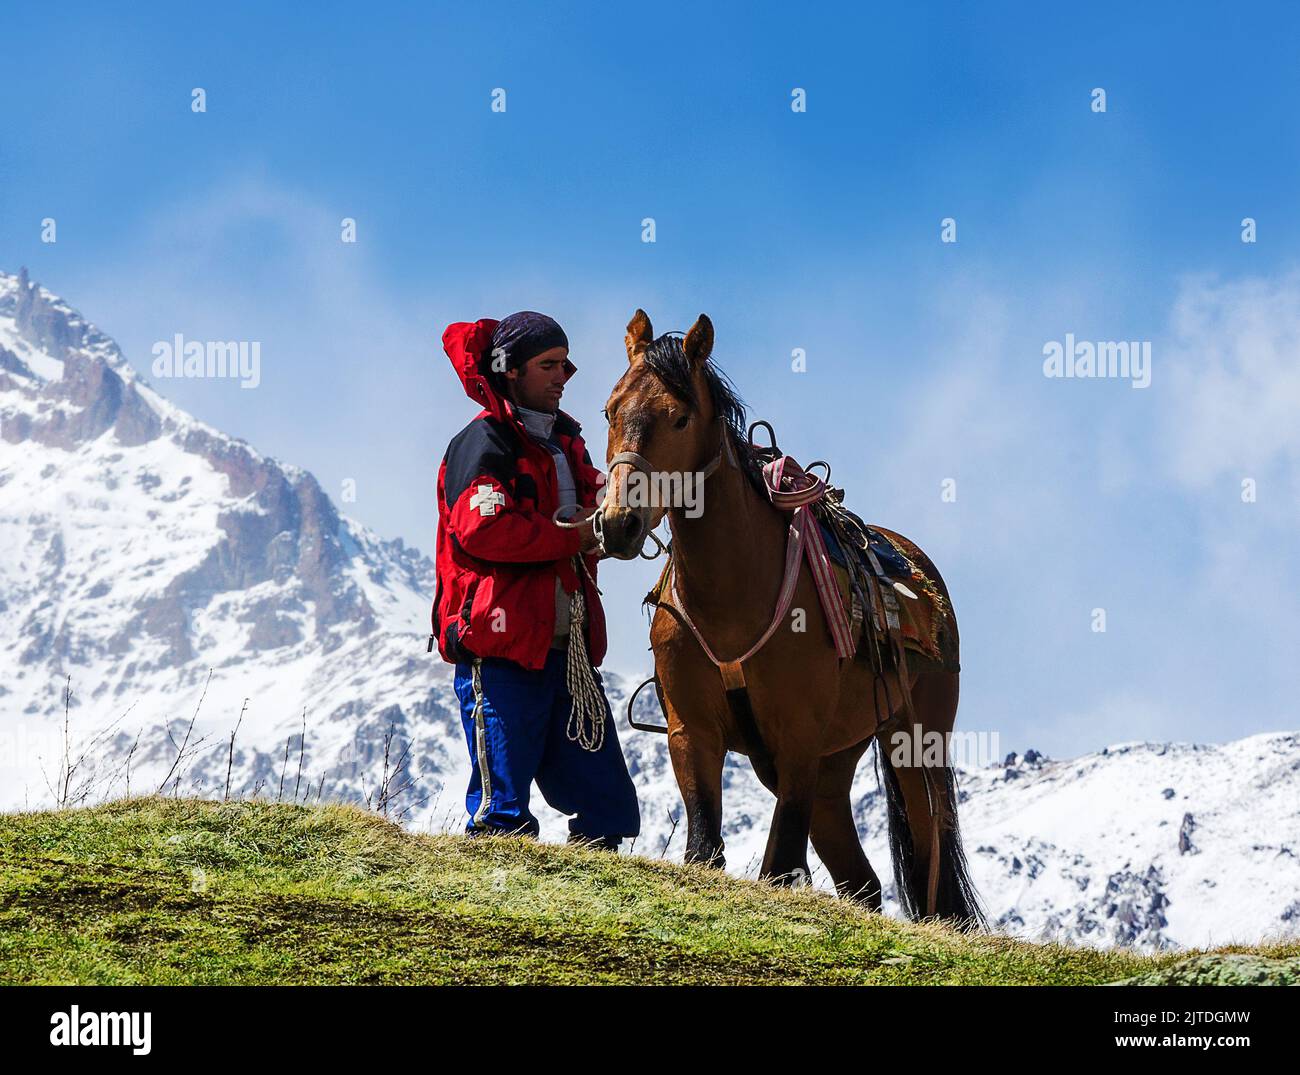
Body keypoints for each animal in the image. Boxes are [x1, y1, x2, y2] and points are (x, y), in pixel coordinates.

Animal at [603, 306, 977, 930]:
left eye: (679, 418)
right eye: (610, 411)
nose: (619, 524)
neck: (732, 596)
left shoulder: (798, 737)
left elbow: (778, 865)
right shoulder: (692, 733)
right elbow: (705, 849)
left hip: (915, 743)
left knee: (931, 861)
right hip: (831, 767)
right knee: (862, 881)